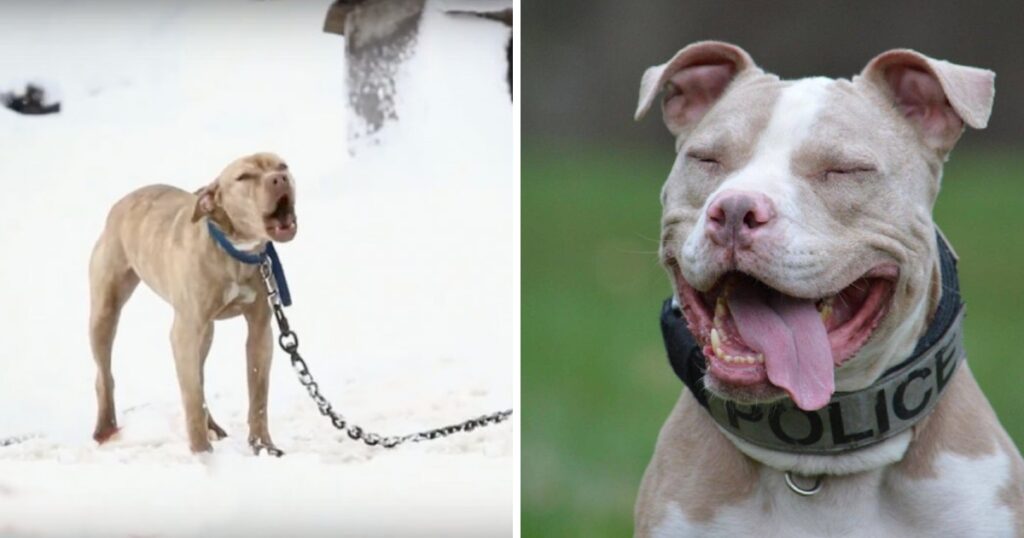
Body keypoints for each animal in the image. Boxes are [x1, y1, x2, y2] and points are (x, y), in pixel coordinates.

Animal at [88, 150, 299, 452]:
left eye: (282, 165)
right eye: (244, 177)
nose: (279, 178)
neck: (234, 250)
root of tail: (122, 202)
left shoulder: (260, 331)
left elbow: (258, 395)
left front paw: (263, 446)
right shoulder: (184, 332)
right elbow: (191, 397)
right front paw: (201, 453)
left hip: (205, 332)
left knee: (198, 377)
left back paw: (212, 426)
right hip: (105, 313)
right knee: (105, 375)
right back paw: (105, 428)